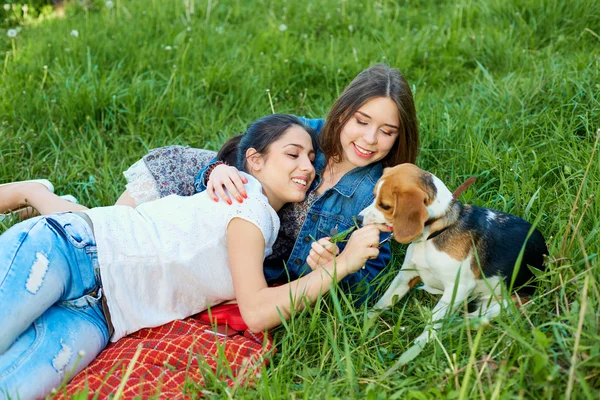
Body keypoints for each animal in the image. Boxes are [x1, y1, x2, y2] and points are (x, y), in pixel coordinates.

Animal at [358, 164, 548, 348]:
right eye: (374, 196)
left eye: (385, 206)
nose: (358, 219)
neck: (433, 232)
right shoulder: (406, 275)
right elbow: (382, 302)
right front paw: (364, 325)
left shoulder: (457, 289)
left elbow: (433, 321)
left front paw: (420, 344)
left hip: (502, 305)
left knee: (471, 319)